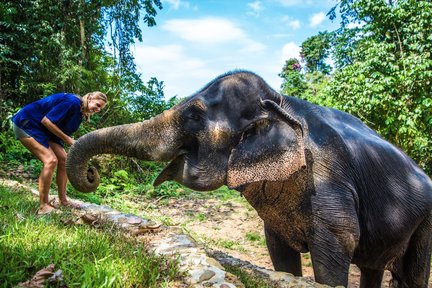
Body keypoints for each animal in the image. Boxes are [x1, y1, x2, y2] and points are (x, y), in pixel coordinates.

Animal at [66, 70, 430, 288]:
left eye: (194, 115)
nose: (92, 174)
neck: (281, 101)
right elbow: (280, 253)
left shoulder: (329, 177)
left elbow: (338, 243)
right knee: (373, 267)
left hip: (426, 222)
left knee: (411, 273)